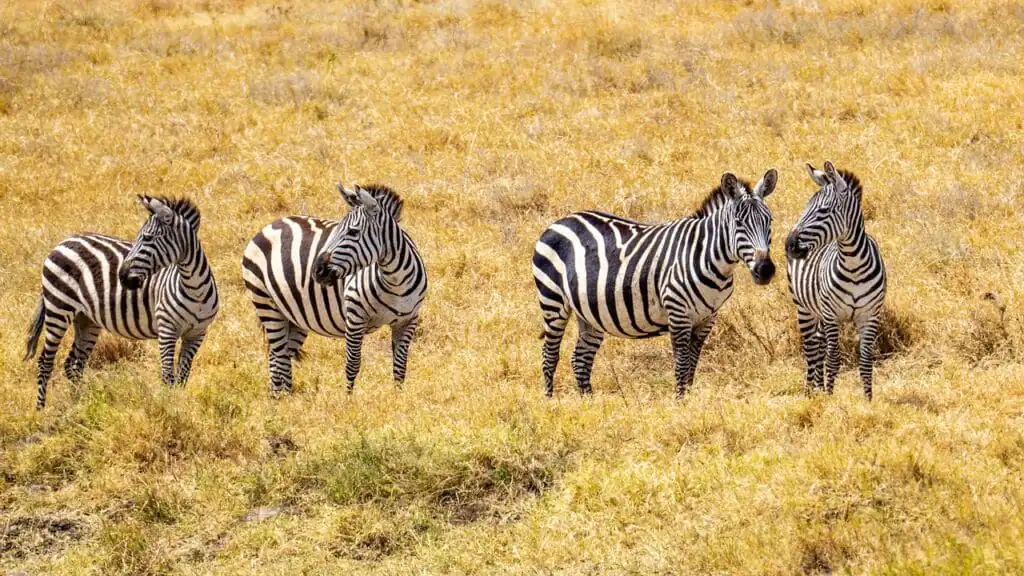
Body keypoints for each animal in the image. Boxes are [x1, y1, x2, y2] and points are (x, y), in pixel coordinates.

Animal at [24, 196, 219, 409]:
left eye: (148, 238)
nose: (123, 278)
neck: (195, 289)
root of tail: (62, 242)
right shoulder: (167, 330)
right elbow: (168, 377)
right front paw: (171, 407)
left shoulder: (196, 334)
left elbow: (183, 377)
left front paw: (180, 404)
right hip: (58, 307)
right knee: (46, 362)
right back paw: (41, 410)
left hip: (86, 319)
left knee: (73, 364)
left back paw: (79, 404)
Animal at [242, 183, 427, 394]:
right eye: (337, 229)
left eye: (353, 232)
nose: (317, 271)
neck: (396, 282)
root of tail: (272, 224)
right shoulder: (355, 317)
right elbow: (353, 364)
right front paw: (348, 399)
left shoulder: (408, 321)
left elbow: (400, 368)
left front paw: (397, 398)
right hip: (265, 303)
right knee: (279, 358)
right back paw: (283, 399)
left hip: (293, 316)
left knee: (278, 357)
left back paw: (280, 397)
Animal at [532, 169, 779, 398]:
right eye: (739, 223)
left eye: (770, 221)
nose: (765, 270)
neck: (709, 257)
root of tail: (561, 221)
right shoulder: (678, 314)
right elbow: (681, 364)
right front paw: (680, 403)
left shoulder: (707, 319)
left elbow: (692, 365)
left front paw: (689, 399)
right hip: (553, 300)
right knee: (550, 354)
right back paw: (551, 401)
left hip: (589, 312)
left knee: (580, 359)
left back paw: (589, 403)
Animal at [785, 161, 886, 400]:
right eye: (806, 207)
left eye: (823, 210)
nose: (789, 245)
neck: (854, 265)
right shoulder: (832, 315)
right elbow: (833, 358)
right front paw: (830, 397)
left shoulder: (870, 316)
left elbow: (866, 360)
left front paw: (868, 400)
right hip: (803, 307)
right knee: (811, 349)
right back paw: (810, 390)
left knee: (819, 346)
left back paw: (818, 387)